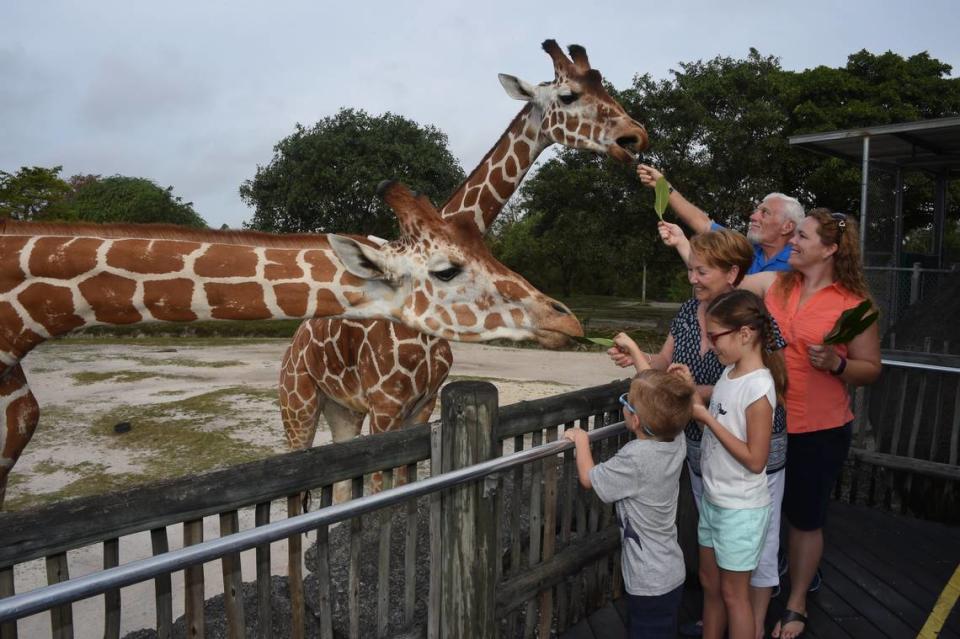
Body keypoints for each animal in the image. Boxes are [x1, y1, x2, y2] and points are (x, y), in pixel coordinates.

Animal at [278, 40, 648, 496]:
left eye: (604, 86)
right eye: (568, 95)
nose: (634, 135)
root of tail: (295, 340)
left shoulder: (421, 406)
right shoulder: (385, 404)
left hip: (342, 409)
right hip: (299, 403)